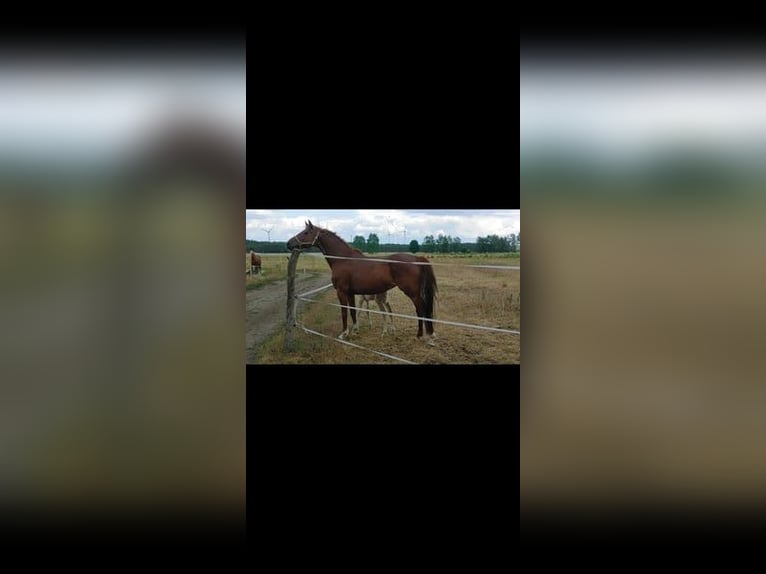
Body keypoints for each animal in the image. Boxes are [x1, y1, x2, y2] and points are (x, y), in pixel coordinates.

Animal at [286, 220, 438, 346]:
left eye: (306, 232)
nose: (288, 243)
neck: (342, 259)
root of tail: (417, 259)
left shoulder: (341, 291)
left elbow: (344, 312)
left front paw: (343, 334)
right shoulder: (351, 293)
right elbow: (353, 311)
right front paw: (355, 330)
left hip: (412, 293)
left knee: (420, 310)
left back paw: (423, 336)